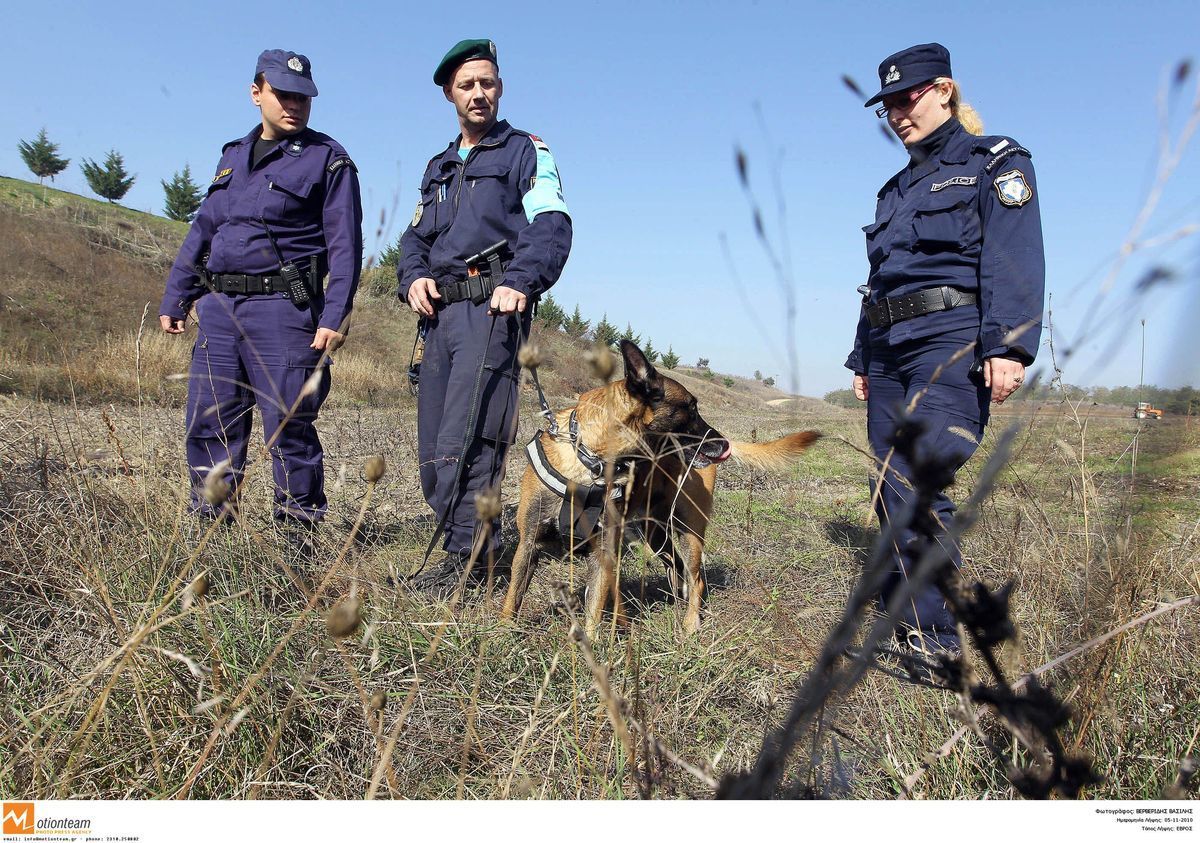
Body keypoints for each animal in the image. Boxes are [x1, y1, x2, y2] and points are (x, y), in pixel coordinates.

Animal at [501, 341, 820, 629]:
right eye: (690, 409)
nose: (723, 444)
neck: (590, 461)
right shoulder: (529, 544)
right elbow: (513, 598)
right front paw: (504, 634)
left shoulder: (602, 555)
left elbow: (592, 617)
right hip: (657, 536)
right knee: (678, 571)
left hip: (690, 531)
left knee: (696, 579)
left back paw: (690, 624)